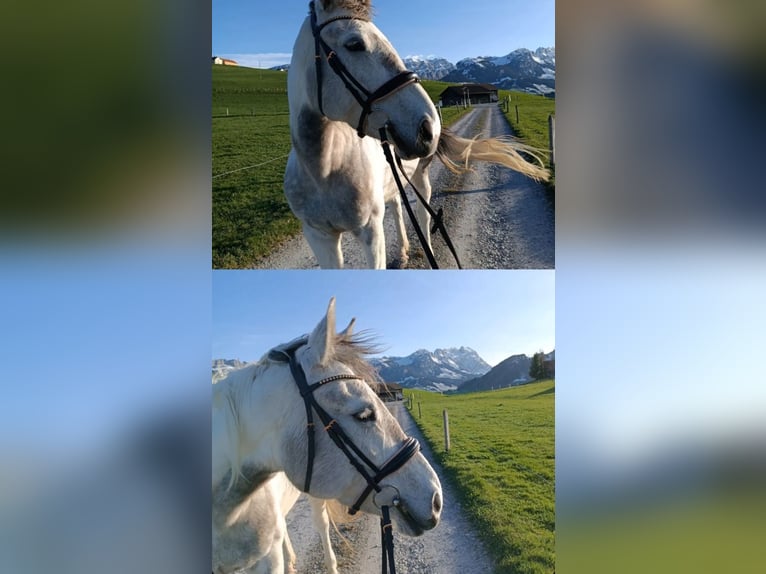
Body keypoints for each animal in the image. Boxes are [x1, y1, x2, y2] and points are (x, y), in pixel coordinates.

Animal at [284, 0, 548, 270]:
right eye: (354, 44)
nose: (429, 127)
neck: (324, 170)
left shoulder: (371, 233)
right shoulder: (319, 236)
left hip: (421, 176)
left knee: (422, 216)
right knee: (397, 206)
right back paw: (402, 251)